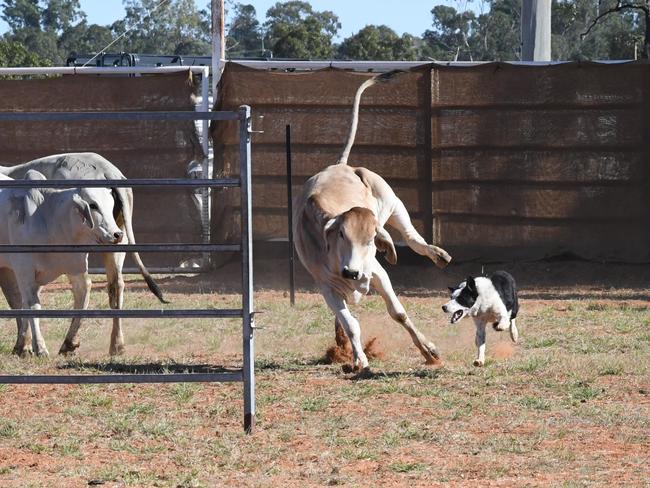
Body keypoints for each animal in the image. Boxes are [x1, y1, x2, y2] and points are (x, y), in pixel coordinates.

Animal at [0, 171, 125, 354]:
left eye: (111, 205)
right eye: (93, 205)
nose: (117, 234)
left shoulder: (75, 265)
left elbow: (82, 295)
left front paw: (68, 342)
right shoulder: (23, 270)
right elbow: (32, 305)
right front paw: (40, 347)